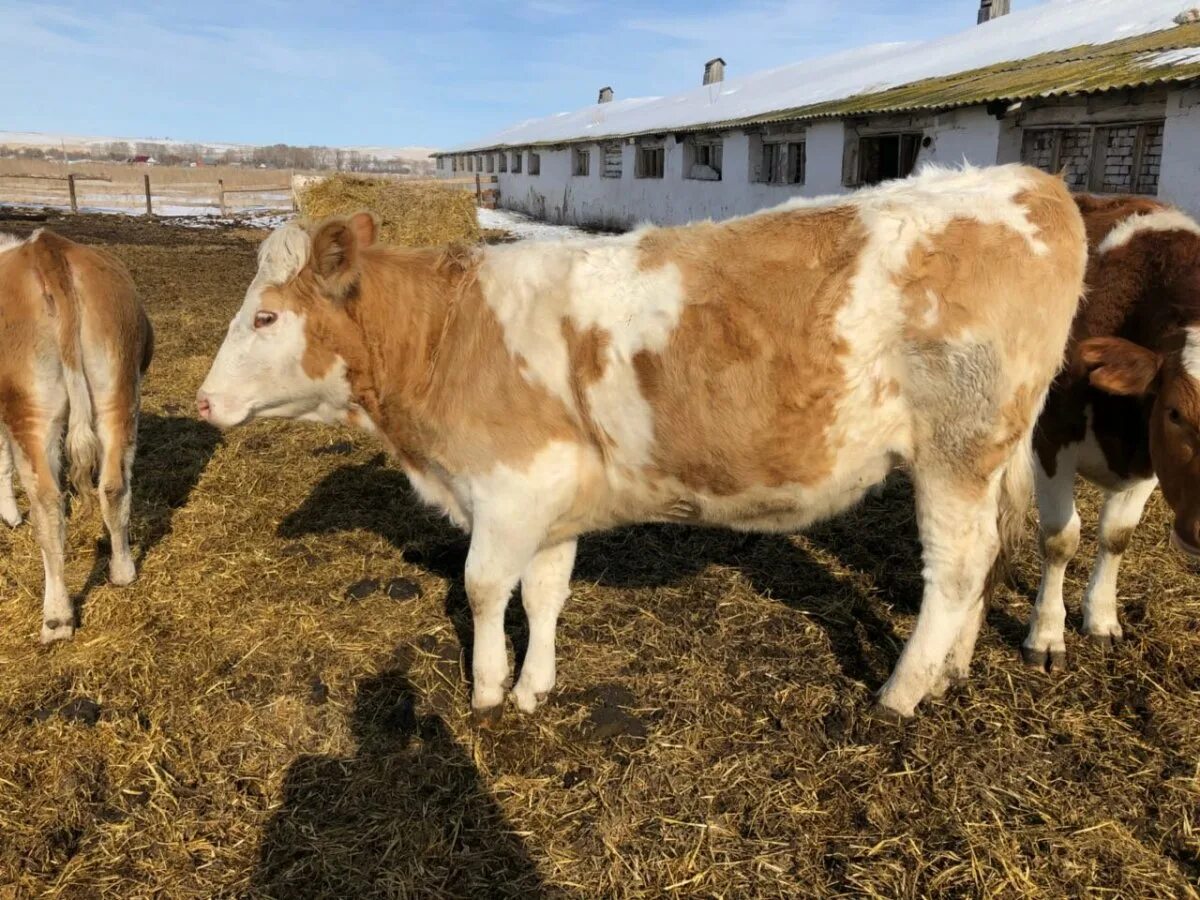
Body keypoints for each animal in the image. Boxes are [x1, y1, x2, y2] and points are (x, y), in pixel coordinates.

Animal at [0, 229, 154, 643]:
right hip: (117, 391)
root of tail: (46, 247)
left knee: (49, 506)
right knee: (114, 486)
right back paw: (122, 571)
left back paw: (57, 618)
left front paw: (8, 514)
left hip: (31, 411)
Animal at [199, 165, 1089, 724]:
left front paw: (486, 691)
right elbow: (543, 593)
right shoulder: (551, 497)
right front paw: (534, 686)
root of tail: (1026, 180)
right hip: (984, 456)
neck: (446, 336)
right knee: (983, 558)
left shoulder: (512, 485)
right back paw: (950, 673)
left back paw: (902, 691)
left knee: (957, 567)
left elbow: (484, 588)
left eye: (266, 316)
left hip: (955, 449)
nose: (204, 400)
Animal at [1022, 194, 1200, 672]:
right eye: (1175, 413)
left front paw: (1101, 619)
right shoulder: (1051, 438)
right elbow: (1060, 538)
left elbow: (1116, 535)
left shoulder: (1150, 463)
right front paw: (1047, 635)